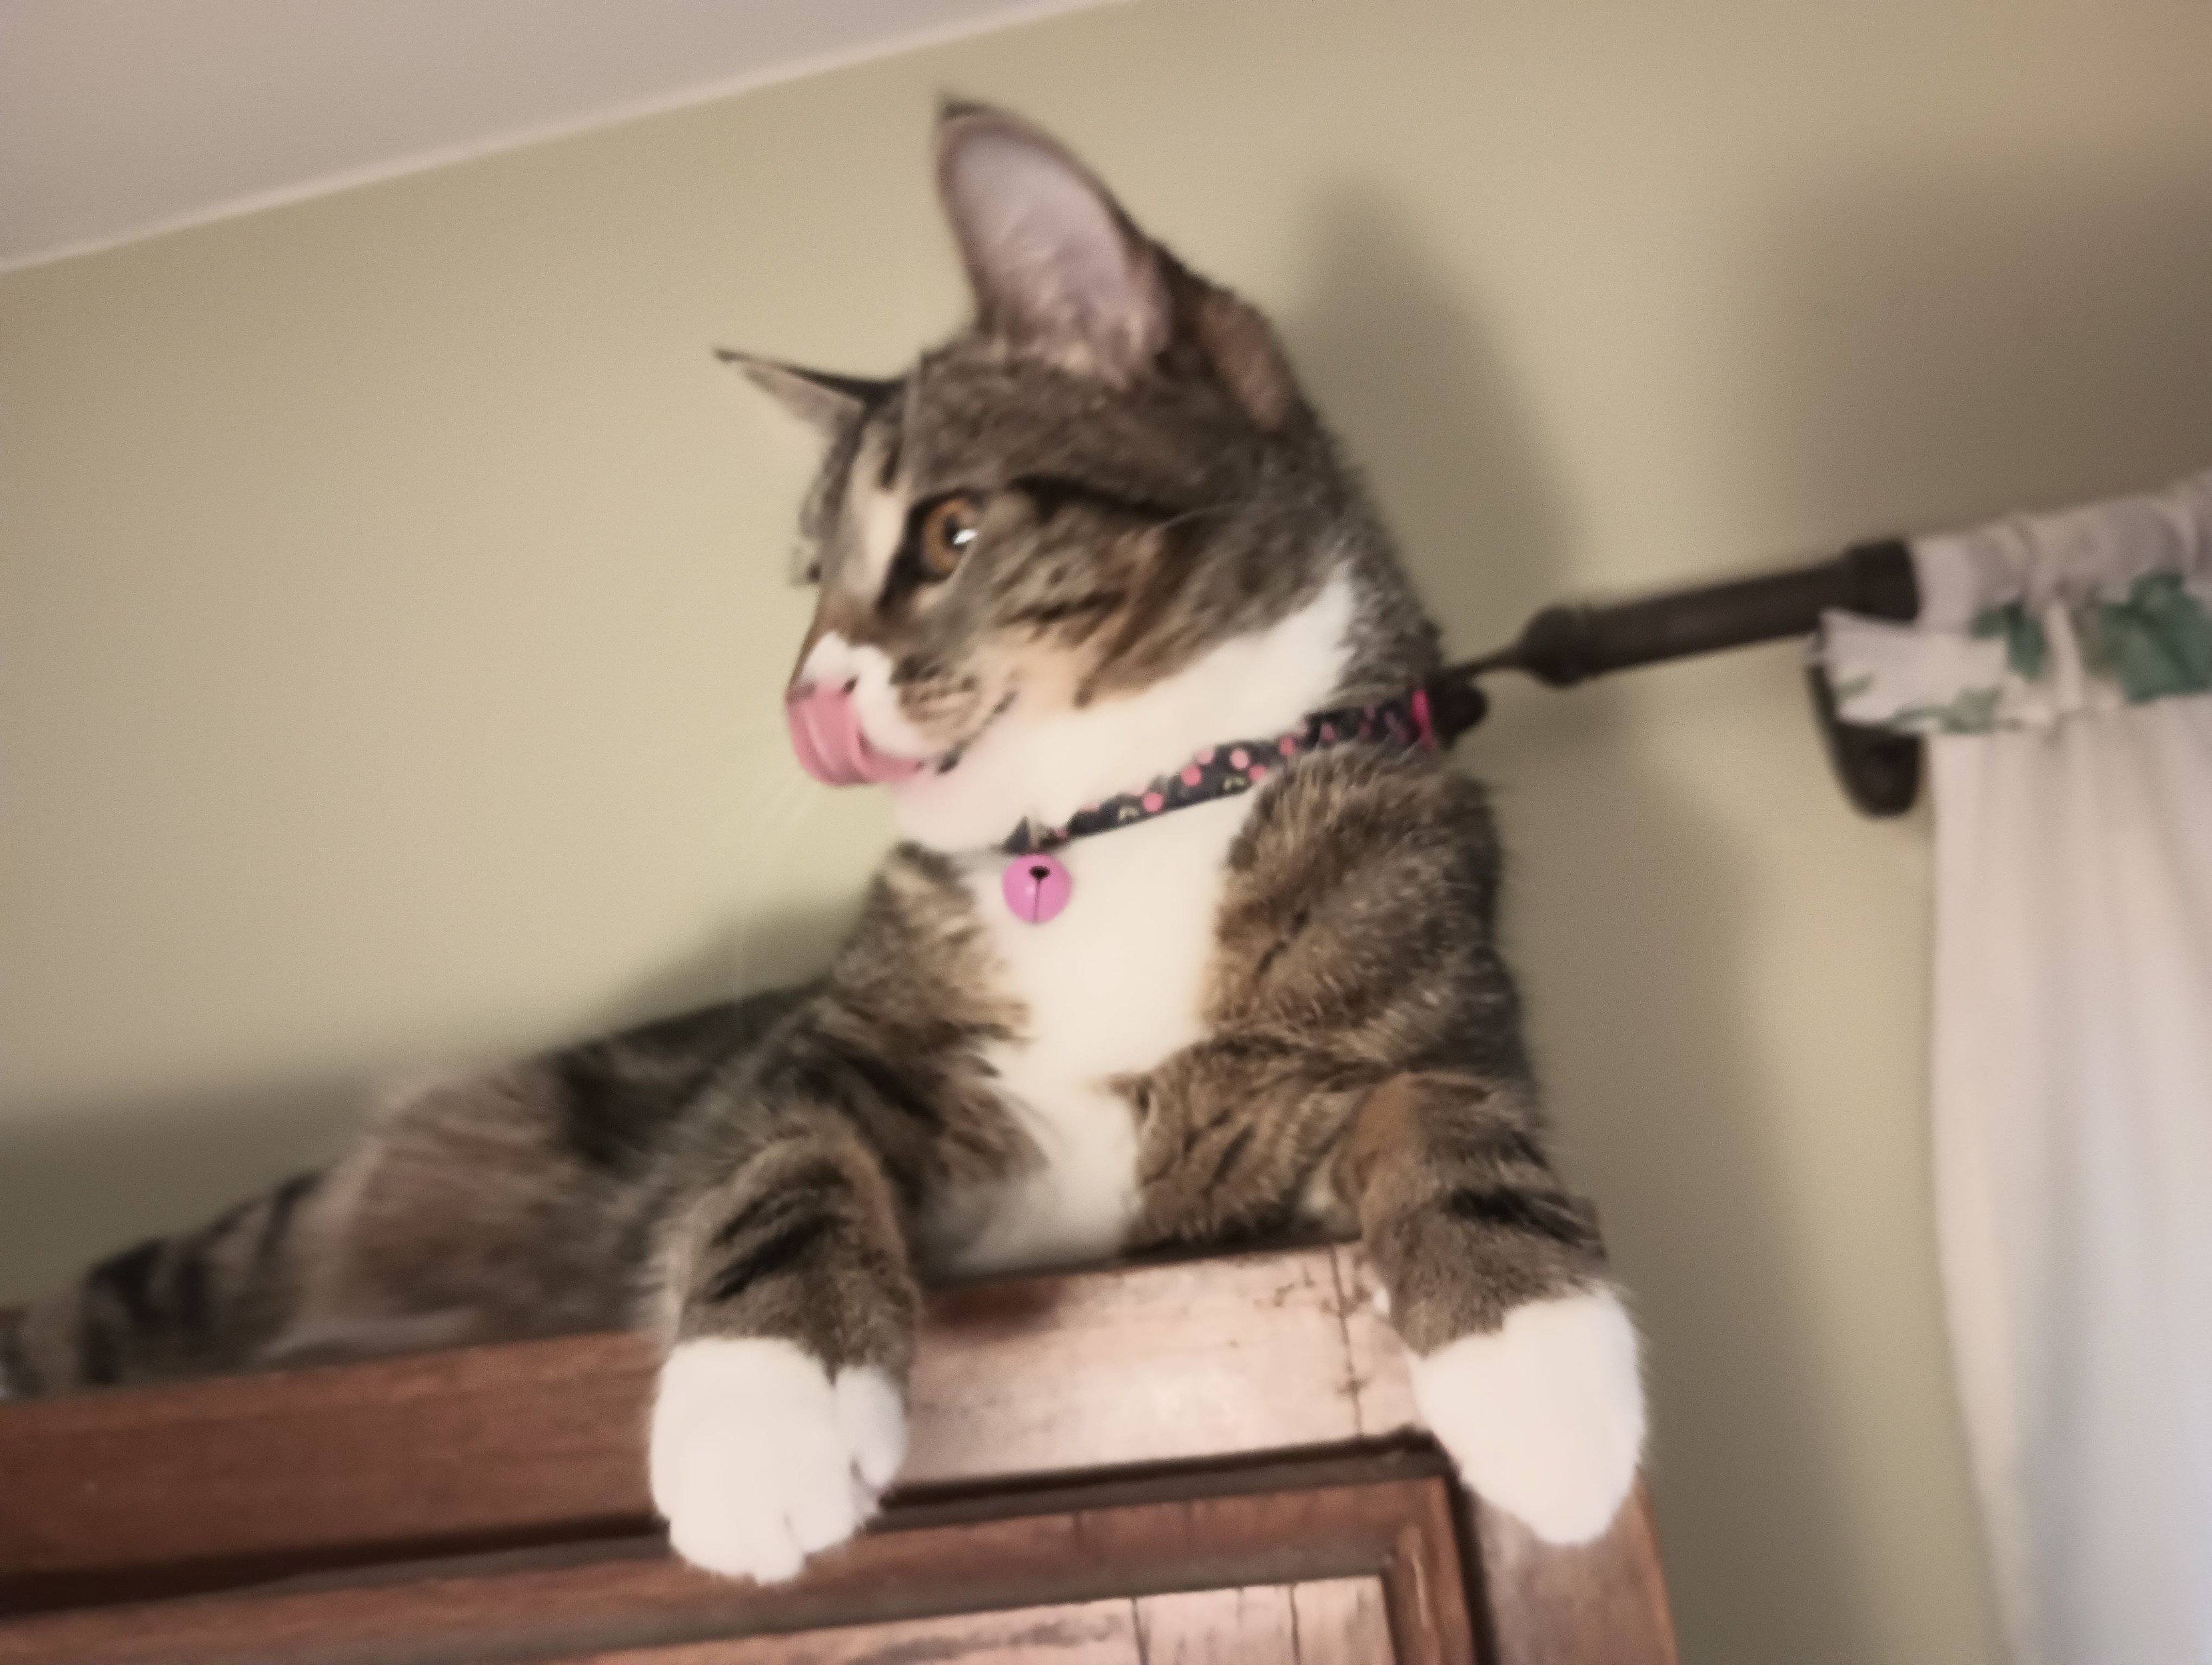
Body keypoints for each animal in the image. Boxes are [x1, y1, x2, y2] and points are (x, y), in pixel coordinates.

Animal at [4, 107, 1646, 1583]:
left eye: (949, 533)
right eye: (814, 579)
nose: (808, 695)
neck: (1122, 821)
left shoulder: (1429, 1025)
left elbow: (1447, 1115)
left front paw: (1539, 1362)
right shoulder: (811, 1061)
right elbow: (779, 1162)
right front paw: (761, 1420)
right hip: (272, 1232)